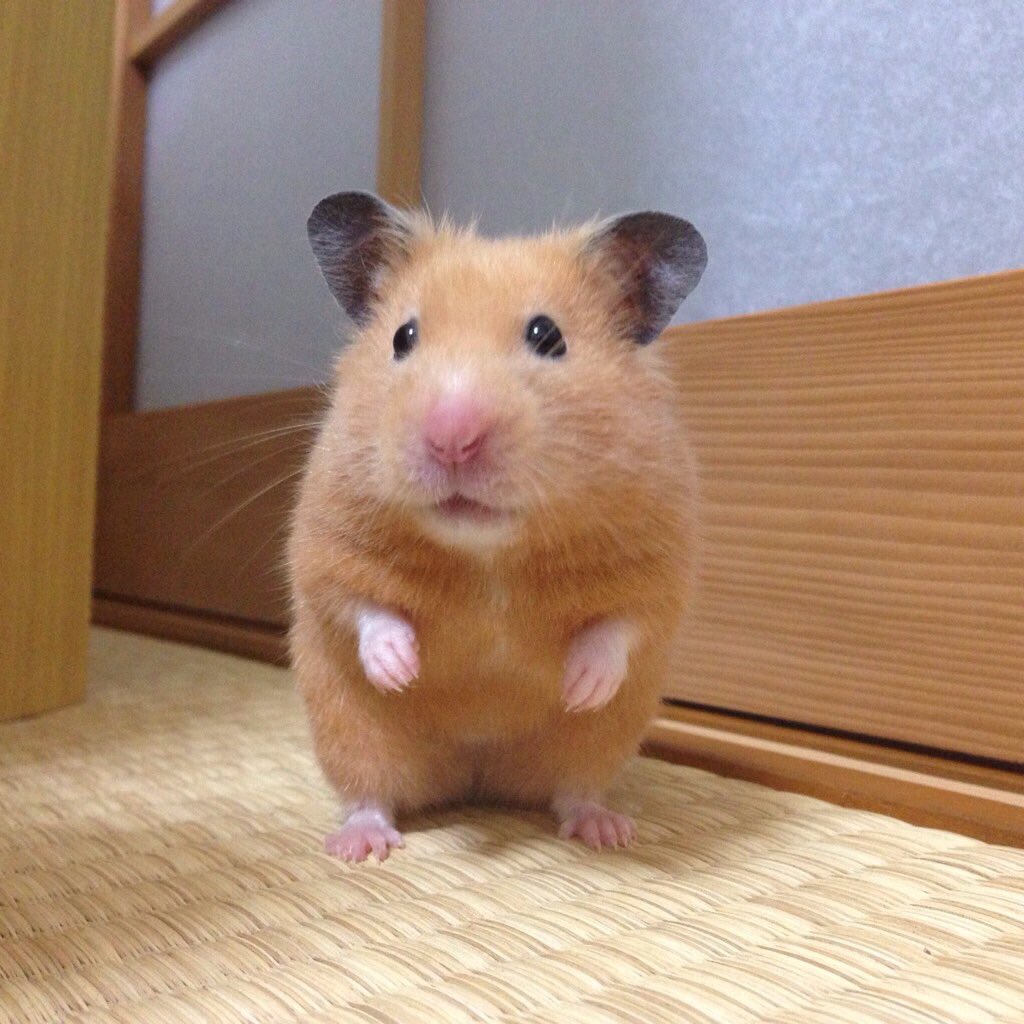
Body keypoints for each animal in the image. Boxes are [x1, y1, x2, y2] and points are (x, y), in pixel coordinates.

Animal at [289, 191, 707, 862]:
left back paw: (607, 832)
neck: (489, 552)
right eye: (403, 337)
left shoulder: (662, 564)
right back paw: (361, 846)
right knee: (369, 791)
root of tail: (477, 777)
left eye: (548, 336)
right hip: (351, 731)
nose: (452, 437)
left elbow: (620, 625)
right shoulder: (325, 547)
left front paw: (580, 686)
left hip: (594, 746)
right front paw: (400, 670)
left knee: (575, 790)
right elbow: (362, 606)